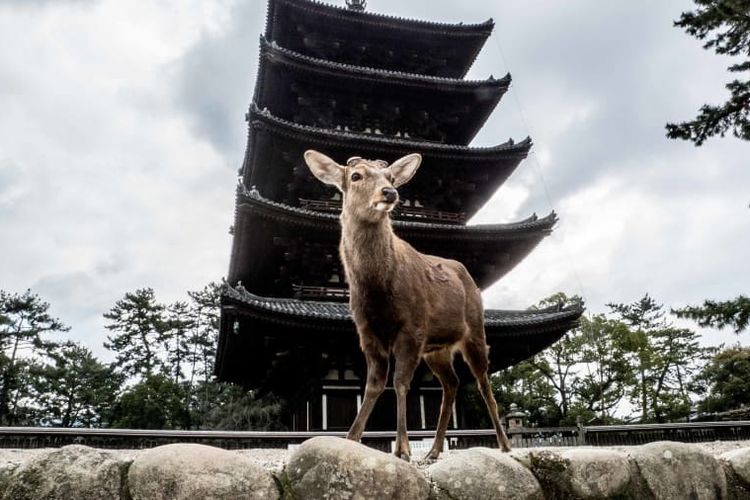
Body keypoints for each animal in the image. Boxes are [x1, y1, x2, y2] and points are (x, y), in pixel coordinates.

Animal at [304, 149, 512, 460]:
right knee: (451, 383)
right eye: (356, 176)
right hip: (436, 349)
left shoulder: (412, 326)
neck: (377, 290)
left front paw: (402, 448)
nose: (389, 192)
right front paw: (351, 438)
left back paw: (504, 443)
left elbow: (400, 382)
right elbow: (374, 385)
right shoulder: (367, 332)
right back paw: (434, 450)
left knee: (483, 382)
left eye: (390, 177)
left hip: (474, 329)